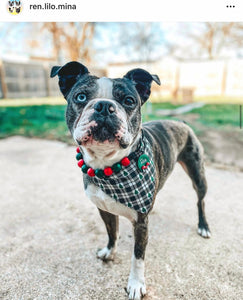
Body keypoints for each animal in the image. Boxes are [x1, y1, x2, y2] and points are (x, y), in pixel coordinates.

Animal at [50, 61, 210, 300]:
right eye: (80, 97)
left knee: (200, 201)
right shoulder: (104, 209)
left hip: (198, 174)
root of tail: (181, 123)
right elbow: (112, 233)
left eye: (128, 101)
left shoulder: (141, 223)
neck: (107, 167)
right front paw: (109, 252)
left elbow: (138, 256)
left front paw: (135, 284)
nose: (104, 106)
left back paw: (203, 226)